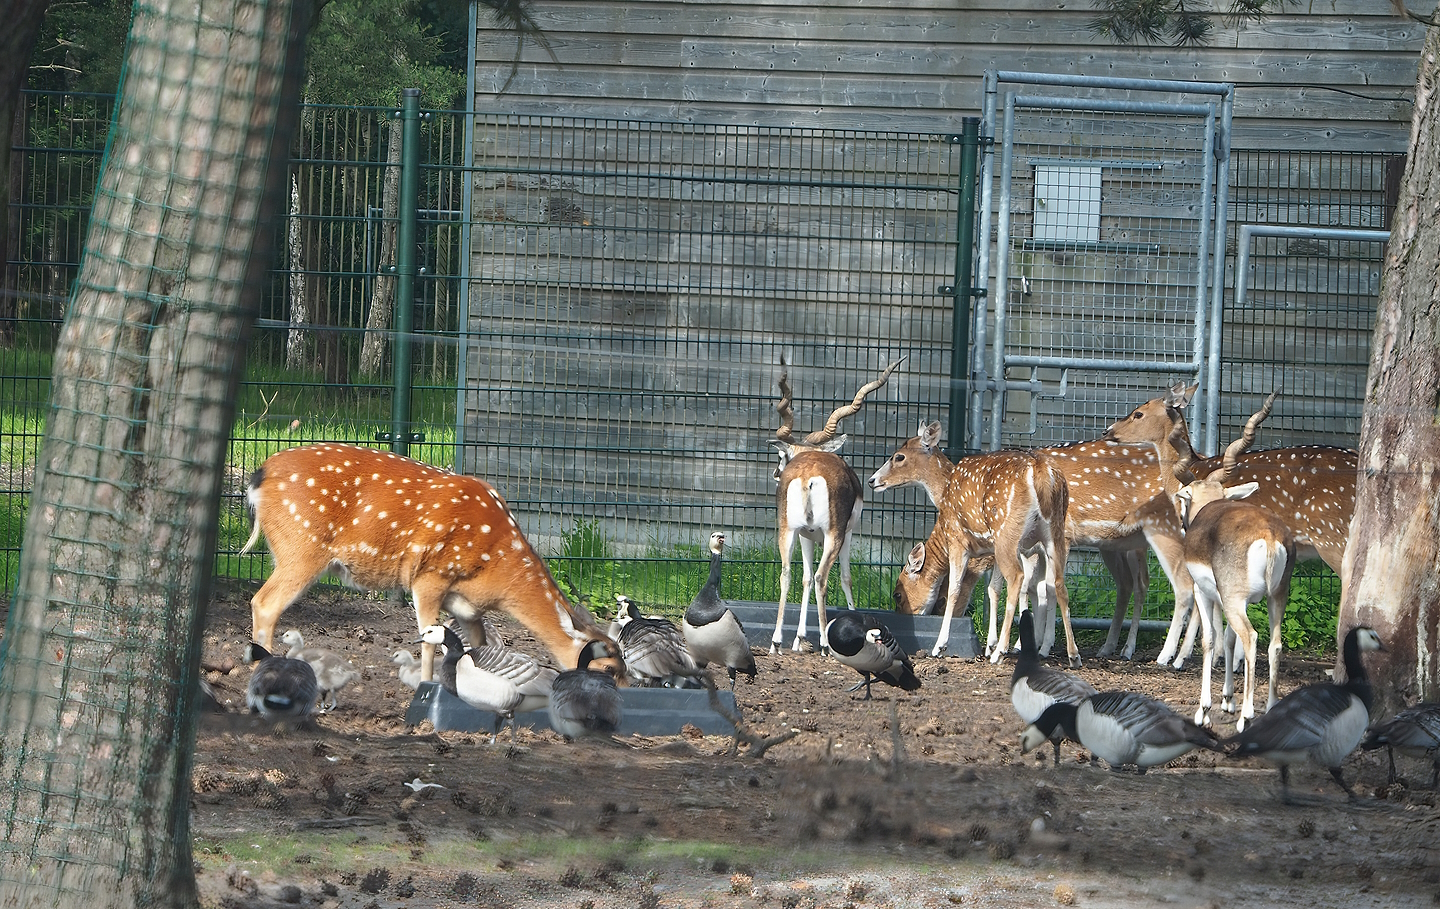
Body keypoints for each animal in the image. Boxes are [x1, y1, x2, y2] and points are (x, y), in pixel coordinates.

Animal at [239, 443, 624, 683]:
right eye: (608, 668)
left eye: (627, 670)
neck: (496, 568)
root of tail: (258, 477)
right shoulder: (429, 576)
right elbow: (429, 641)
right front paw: (425, 688)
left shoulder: (468, 606)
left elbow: (478, 649)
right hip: (301, 547)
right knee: (264, 602)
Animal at [769, 355, 905, 655]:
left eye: (782, 457)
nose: (775, 474)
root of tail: (808, 476)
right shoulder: (848, 533)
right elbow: (845, 577)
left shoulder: (806, 535)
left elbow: (805, 578)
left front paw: (798, 639)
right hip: (834, 535)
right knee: (822, 577)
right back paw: (824, 644)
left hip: (788, 531)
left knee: (787, 574)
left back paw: (776, 642)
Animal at [870, 421, 1078, 665]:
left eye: (899, 457)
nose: (872, 480)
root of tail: (1043, 474)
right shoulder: (996, 553)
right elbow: (993, 590)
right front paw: (990, 644)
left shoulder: (963, 545)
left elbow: (956, 590)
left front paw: (941, 646)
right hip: (1051, 535)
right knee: (1056, 583)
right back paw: (1070, 654)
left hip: (1009, 536)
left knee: (1022, 581)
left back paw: (1005, 652)